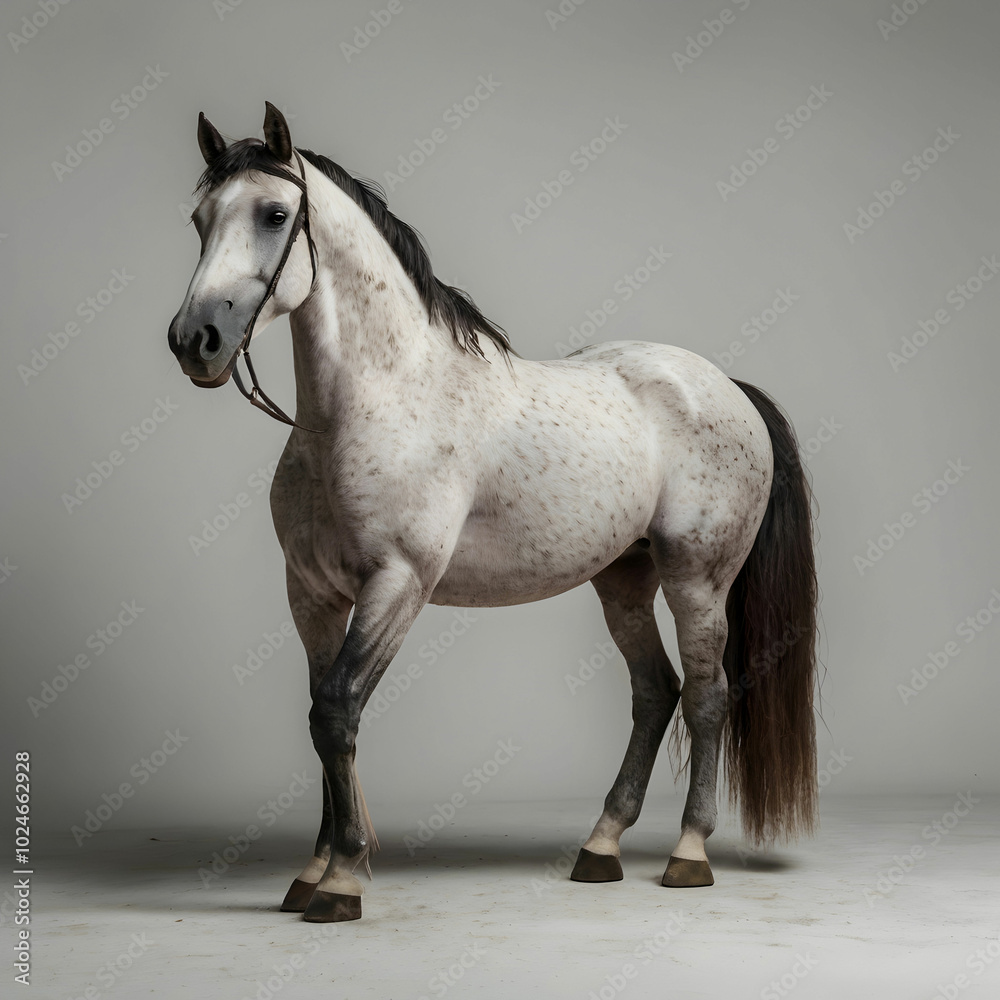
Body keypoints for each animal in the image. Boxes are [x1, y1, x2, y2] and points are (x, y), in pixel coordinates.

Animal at [167, 103, 819, 923]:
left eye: (274, 214)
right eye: (200, 220)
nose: (195, 340)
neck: (368, 405)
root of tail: (726, 386)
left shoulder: (397, 585)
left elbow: (338, 711)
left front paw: (342, 878)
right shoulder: (312, 594)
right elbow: (320, 717)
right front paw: (315, 869)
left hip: (697, 581)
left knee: (705, 699)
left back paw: (688, 853)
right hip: (623, 580)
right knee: (654, 693)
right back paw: (600, 847)